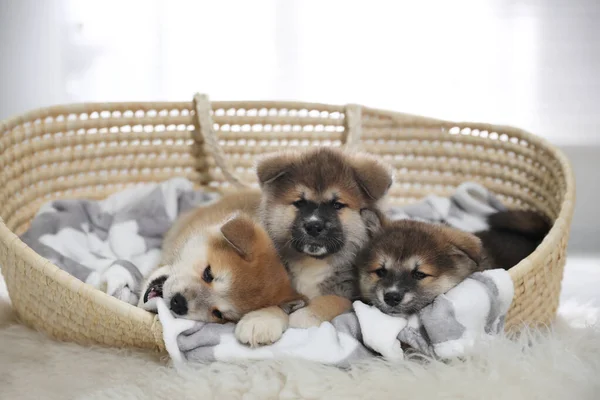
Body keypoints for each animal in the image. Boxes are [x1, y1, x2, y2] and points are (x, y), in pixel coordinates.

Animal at [256, 148, 394, 328]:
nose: (314, 226)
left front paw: (303, 317)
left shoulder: (348, 295)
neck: (313, 262)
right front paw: (260, 320)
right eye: (300, 203)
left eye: (337, 205)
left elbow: (329, 301)